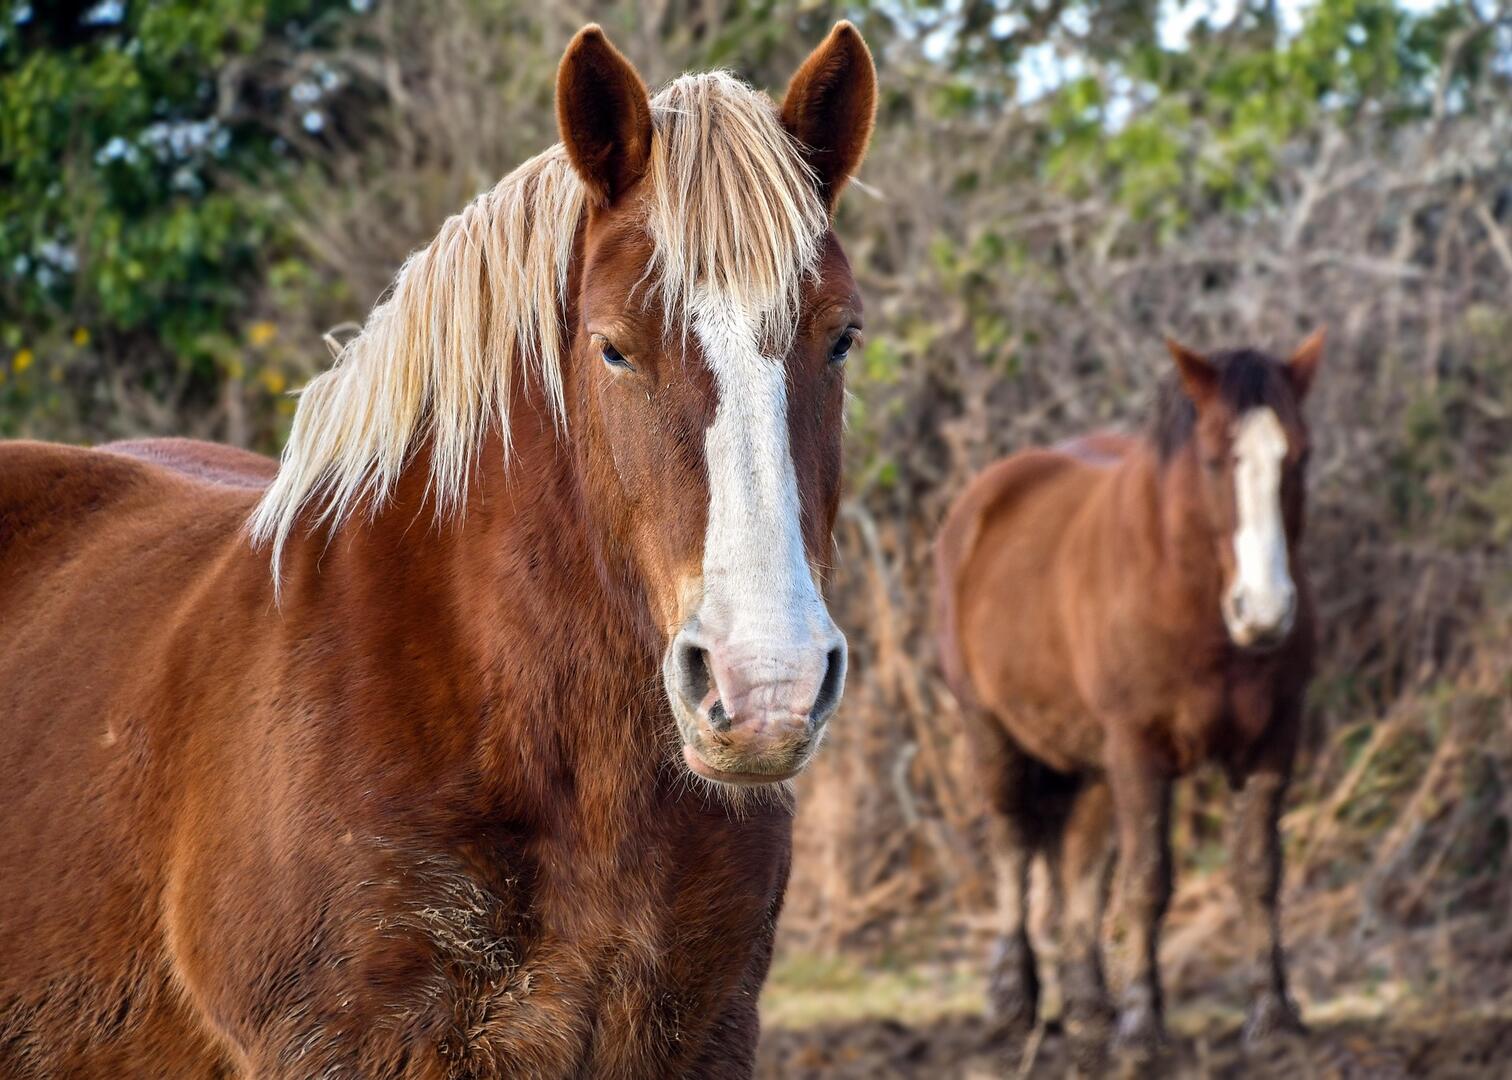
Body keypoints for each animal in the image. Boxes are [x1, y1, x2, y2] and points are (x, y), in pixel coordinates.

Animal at [935, 331, 1325, 1061]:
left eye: (1299, 453)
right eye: (1214, 458)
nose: (1263, 612)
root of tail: (985, 497)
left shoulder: (1274, 742)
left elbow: (1259, 873)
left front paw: (1274, 1015)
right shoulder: (1140, 752)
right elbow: (1147, 881)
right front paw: (1143, 1026)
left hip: (1088, 759)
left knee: (1078, 863)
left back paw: (1089, 1003)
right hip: (992, 733)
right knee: (1013, 843)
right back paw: (1013, 1000)